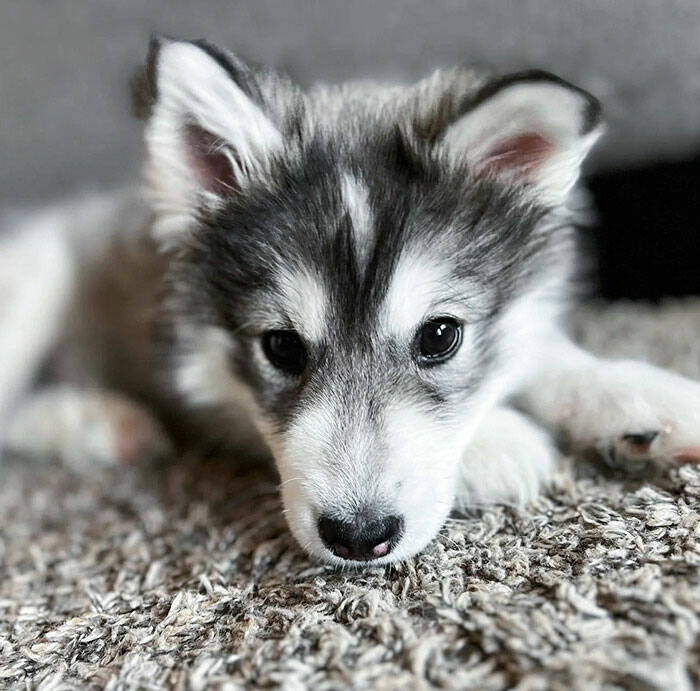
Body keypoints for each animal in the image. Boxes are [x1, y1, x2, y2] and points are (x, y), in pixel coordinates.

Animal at [3, 35, 700, 565]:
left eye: (440, 336)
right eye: (281, 347)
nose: (359, 538)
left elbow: (542, 351)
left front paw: (636, 396)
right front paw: (498, 440)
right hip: (36, 274)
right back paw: (94, 421)